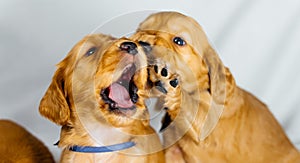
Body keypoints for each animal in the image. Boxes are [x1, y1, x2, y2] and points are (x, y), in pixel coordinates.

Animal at [132, 11, 300, 163]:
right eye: (139, 30)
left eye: (179, 41)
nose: (142, 42)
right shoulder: (174, 151)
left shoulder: (208, 124)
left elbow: (192, 108)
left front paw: (168, 84)